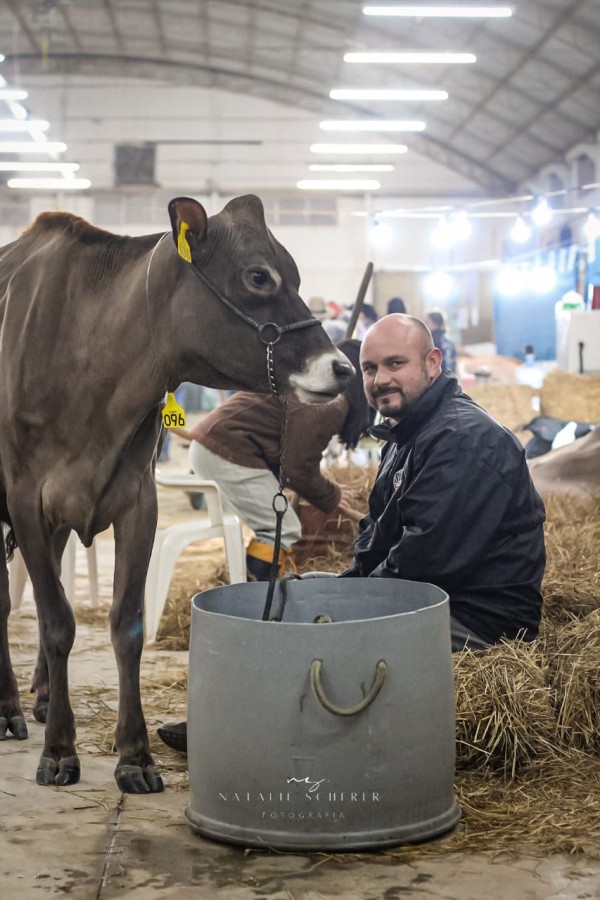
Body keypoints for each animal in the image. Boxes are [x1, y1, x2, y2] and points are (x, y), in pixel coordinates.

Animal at [0, 193, 356, 792]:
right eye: (258, 276)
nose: (344, 367)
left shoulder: (136, 501)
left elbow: (126, 625)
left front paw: (134, 756)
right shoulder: (26, 499)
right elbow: (56, 623)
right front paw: (60, 752)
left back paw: (46, 697)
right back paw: (9, 710)